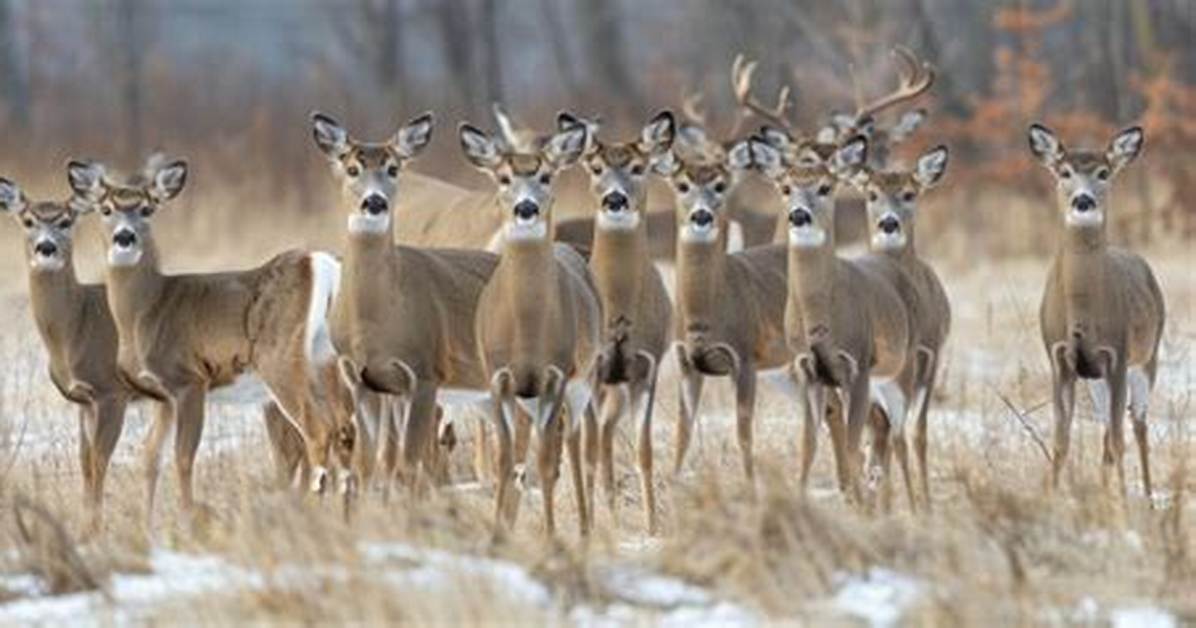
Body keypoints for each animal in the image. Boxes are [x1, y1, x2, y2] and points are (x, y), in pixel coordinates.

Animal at [66, 157, 351, 528]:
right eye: (106, 208)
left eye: (147, 208)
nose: (124, 237)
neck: (148, 309)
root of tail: (321, 265)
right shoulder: (162, 395)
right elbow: (150, 455)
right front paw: (147, 523)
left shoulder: (189, 380)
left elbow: (184, 456)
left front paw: (187, 517)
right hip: (326, 361)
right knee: (343, 426)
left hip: (281, 359)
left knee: (318, 431)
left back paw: (315, 512)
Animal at [458, 120, 600, 536]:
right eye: (504, 177)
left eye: (546, 176)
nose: (526, 207)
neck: (526, 327)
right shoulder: (499, 376)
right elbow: (506, 460)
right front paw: (496, 531)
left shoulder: (556, 374)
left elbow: (547, 463)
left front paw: (551, 536)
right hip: (529, 396)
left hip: (582, 380)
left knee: (573, 443)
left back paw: (585, 527)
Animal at [743, 134, 916, 505]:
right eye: (785, 187)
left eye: (825, 187)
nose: (798, 215)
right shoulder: (807, 370)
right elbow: (808, 445)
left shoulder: (859, 365)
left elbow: (851, 444)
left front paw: (860, 503)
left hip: (904, 368)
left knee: (896, 435)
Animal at [1027, 123, 1164, 501]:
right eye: (1064, 172)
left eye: (1104, 172)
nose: (1083, 201)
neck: (1083, 309)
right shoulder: (1059, 356)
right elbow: (1061, 440)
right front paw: (1052, 496)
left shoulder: (1116, 352)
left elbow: (1120, 438)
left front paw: (1124, 502)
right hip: (1095, 377)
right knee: (1107, 427)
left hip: (1147, 357)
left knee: (1138, 424)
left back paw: (1148, 497)